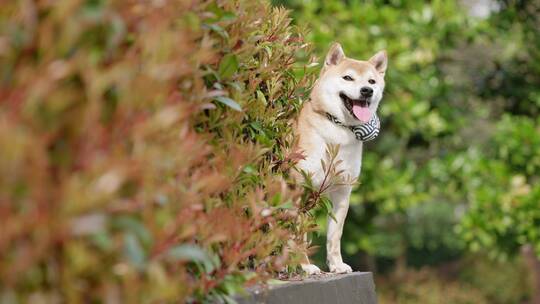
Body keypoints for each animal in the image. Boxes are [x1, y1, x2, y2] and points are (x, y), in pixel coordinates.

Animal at [296, 42, 388, 274]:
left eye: (372, 81)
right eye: (348, 78)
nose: (367, 91)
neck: (338, 128)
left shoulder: (342, 191)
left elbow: (334, 236)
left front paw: (336, 265)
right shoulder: (300, 187)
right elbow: (299, 233)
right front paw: (304, 265)